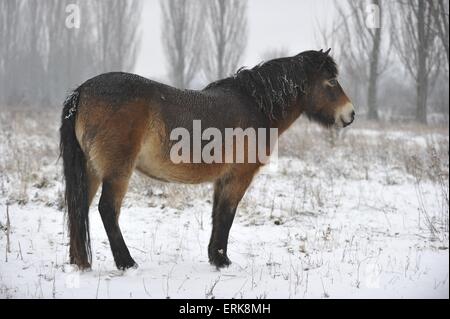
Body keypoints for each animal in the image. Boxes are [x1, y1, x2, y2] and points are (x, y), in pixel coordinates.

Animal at [59, 49, 356, 270]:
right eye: (331, 82)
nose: (350, 114)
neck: (256, 106)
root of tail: (82, 91)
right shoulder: (238, 177)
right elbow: (227, 215)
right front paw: (222, 260)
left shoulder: (222, 179)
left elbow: (217, 216)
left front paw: (215, 257)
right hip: (117, 171)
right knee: (107, 210)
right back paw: (126, 263)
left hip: (91, 170)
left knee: (78, 208)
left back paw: (80, 264)